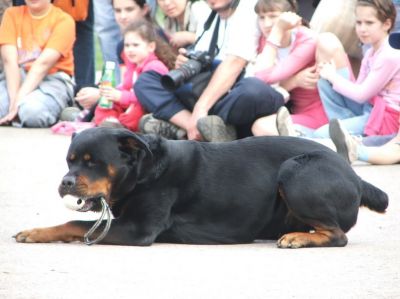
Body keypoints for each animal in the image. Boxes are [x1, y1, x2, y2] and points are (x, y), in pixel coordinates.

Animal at [14, 127, 388, 248]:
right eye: (70, 161)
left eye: (93, 162)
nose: (65, 181)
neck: (144, 172)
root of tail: (354, 175)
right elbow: (79, 222)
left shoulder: (138, 229)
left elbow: (76, 223)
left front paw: (36, 232)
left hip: (296, 170)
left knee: (338, 235)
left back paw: (299, 238)